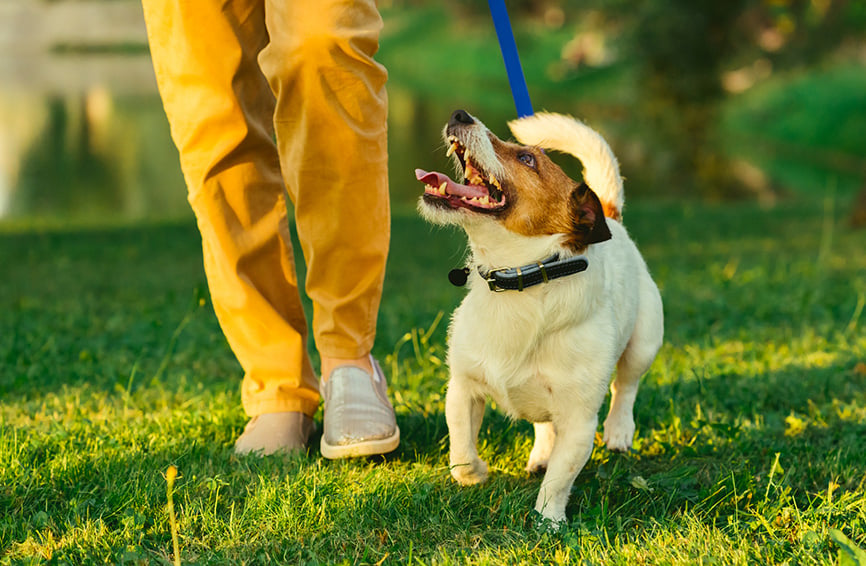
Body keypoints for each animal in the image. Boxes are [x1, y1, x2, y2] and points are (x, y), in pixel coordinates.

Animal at [416, 111, 664, 528]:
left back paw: (618, 432)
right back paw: (541, 455)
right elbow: (460, 444)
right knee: (545, 424)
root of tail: (611, 216)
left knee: (626, 386)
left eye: (527, 159)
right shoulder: (463, 387)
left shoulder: (580, 422)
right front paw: (474, 474)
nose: (460, 114)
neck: (519, 279)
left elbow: (560, 479)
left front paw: (549, 522)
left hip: (644, 341)